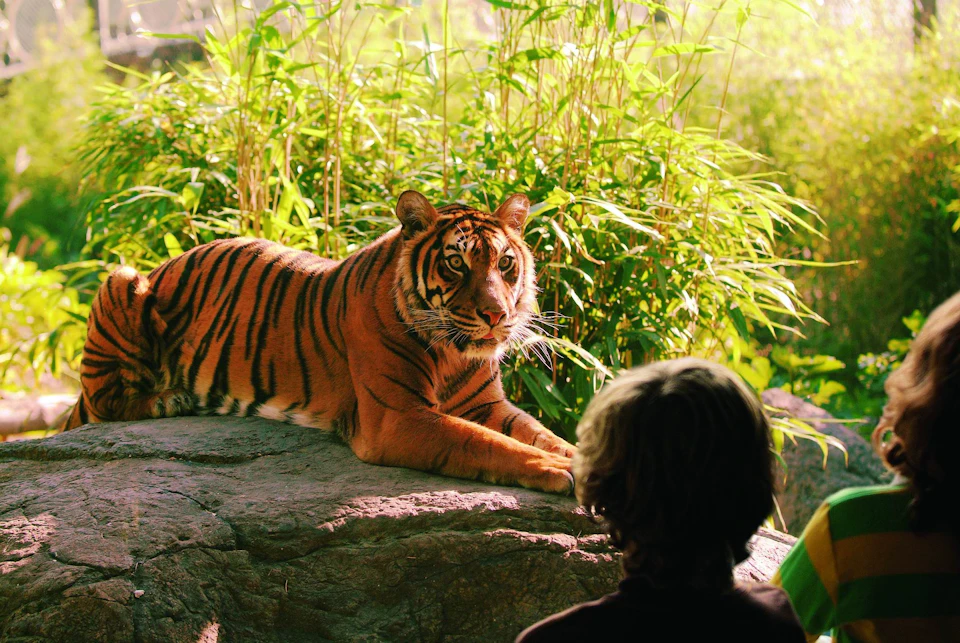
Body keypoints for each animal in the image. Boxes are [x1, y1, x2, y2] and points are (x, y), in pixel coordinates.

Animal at [62, 191, 576, 493]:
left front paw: (573, 457)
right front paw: (556, 470)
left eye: (505, 263)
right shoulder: (398, 417)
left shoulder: (486, 404)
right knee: (106, 403)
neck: (453, 353)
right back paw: (170, 399)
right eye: (456, 263)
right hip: (122, 278)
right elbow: (484, 443)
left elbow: (540, 433)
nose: (496, 315)